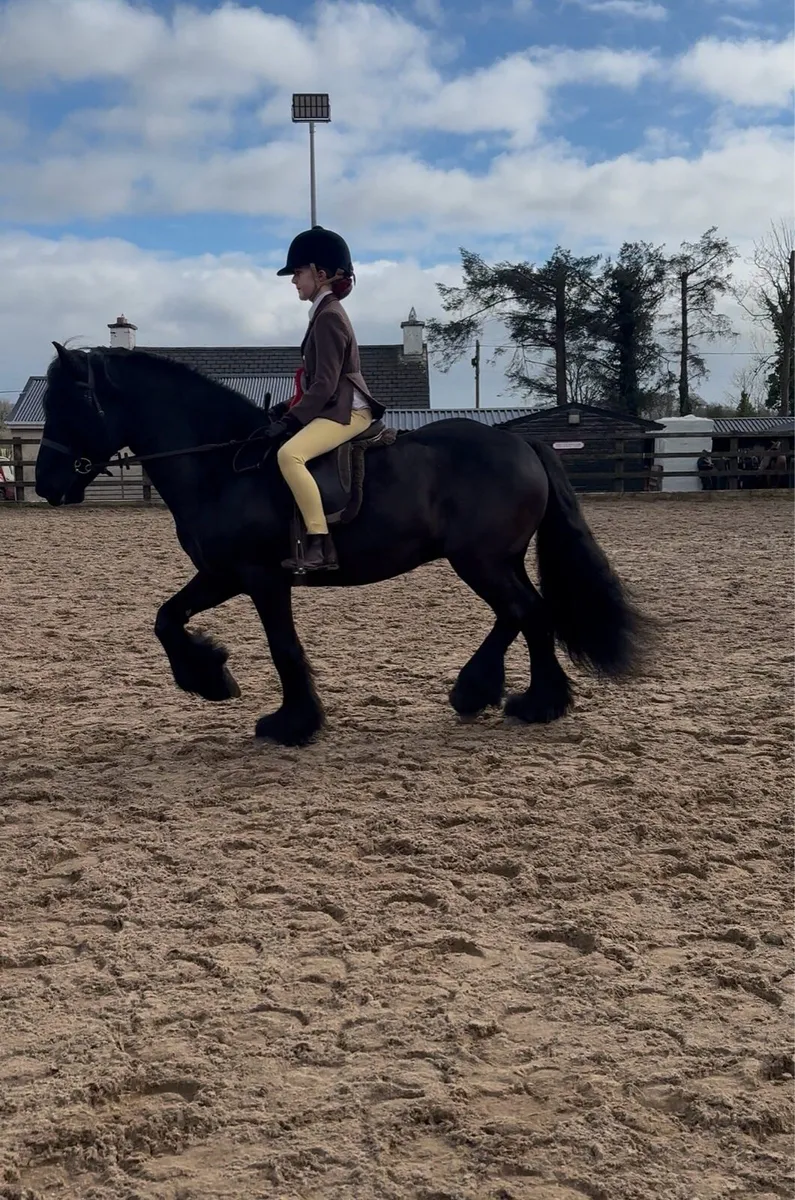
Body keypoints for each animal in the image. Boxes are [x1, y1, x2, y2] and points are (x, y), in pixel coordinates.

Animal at [35, 343, 648, 747]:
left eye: (69, 406)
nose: (45, 484)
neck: (221, 465)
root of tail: (522, 443)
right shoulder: (222, 574)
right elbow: (166, 618)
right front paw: (211, 679)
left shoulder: (259, 578)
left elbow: (281, 646)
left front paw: (291, 722)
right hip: (492, 560)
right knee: (519, 614)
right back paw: (483, 692)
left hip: (481, 561)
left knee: (529, 613)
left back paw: (536, 703)